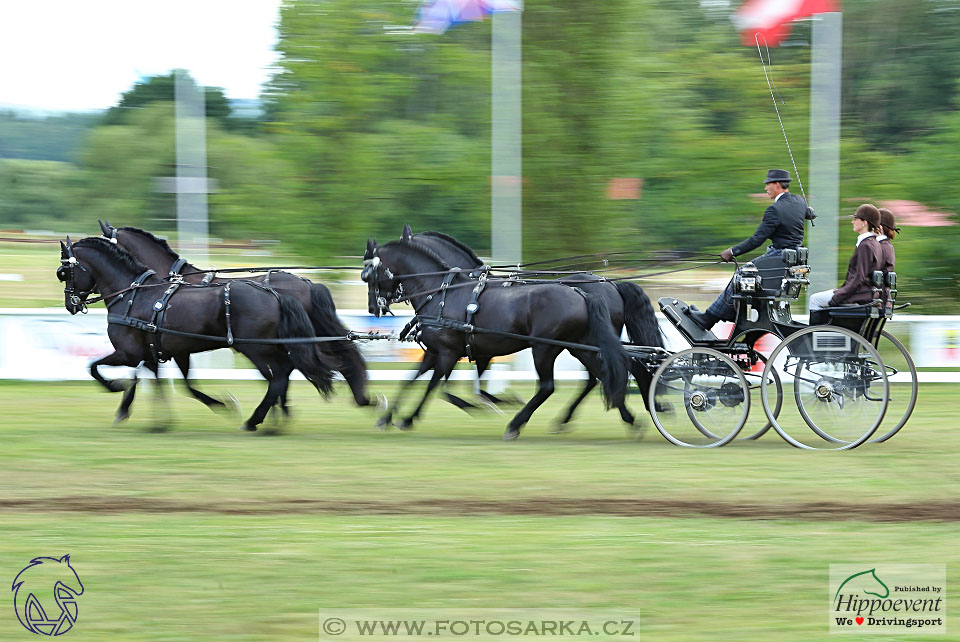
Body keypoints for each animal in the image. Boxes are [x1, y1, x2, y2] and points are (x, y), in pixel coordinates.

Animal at [59, 235, 338, 430]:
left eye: (63, 272)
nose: (71, 304)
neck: (133, 293)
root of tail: (278, 295)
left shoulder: (129, 353)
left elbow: (94, 367)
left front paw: (117, 387)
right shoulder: (159, 352)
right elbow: (170, 382)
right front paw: (155, 419)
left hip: (255, 348)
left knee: (278, 377)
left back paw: (255, 421)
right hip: (271, 347)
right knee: (282, 375)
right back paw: (275, 419)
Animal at [360, 225, 632, 440]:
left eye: (368, 275)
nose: (374, 308)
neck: (442, 290)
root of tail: (583, 293)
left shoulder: (449, 353)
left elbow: (437, 386)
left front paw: (409, 418)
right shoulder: (439, 352)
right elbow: (411, 380)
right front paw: (387, 417)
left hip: (544, 348)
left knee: (549, 386)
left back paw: (516, 424)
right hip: (579, 346)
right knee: (603, 376)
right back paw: (626, 417)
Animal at [408, 230, 664, 424]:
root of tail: (611, 285)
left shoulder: (473, 348)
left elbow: (466, 385)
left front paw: (496, 402)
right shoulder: (478, 349)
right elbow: (470, 384)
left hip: (570, 345)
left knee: (608, 372)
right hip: (584, 344)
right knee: (606, 374)